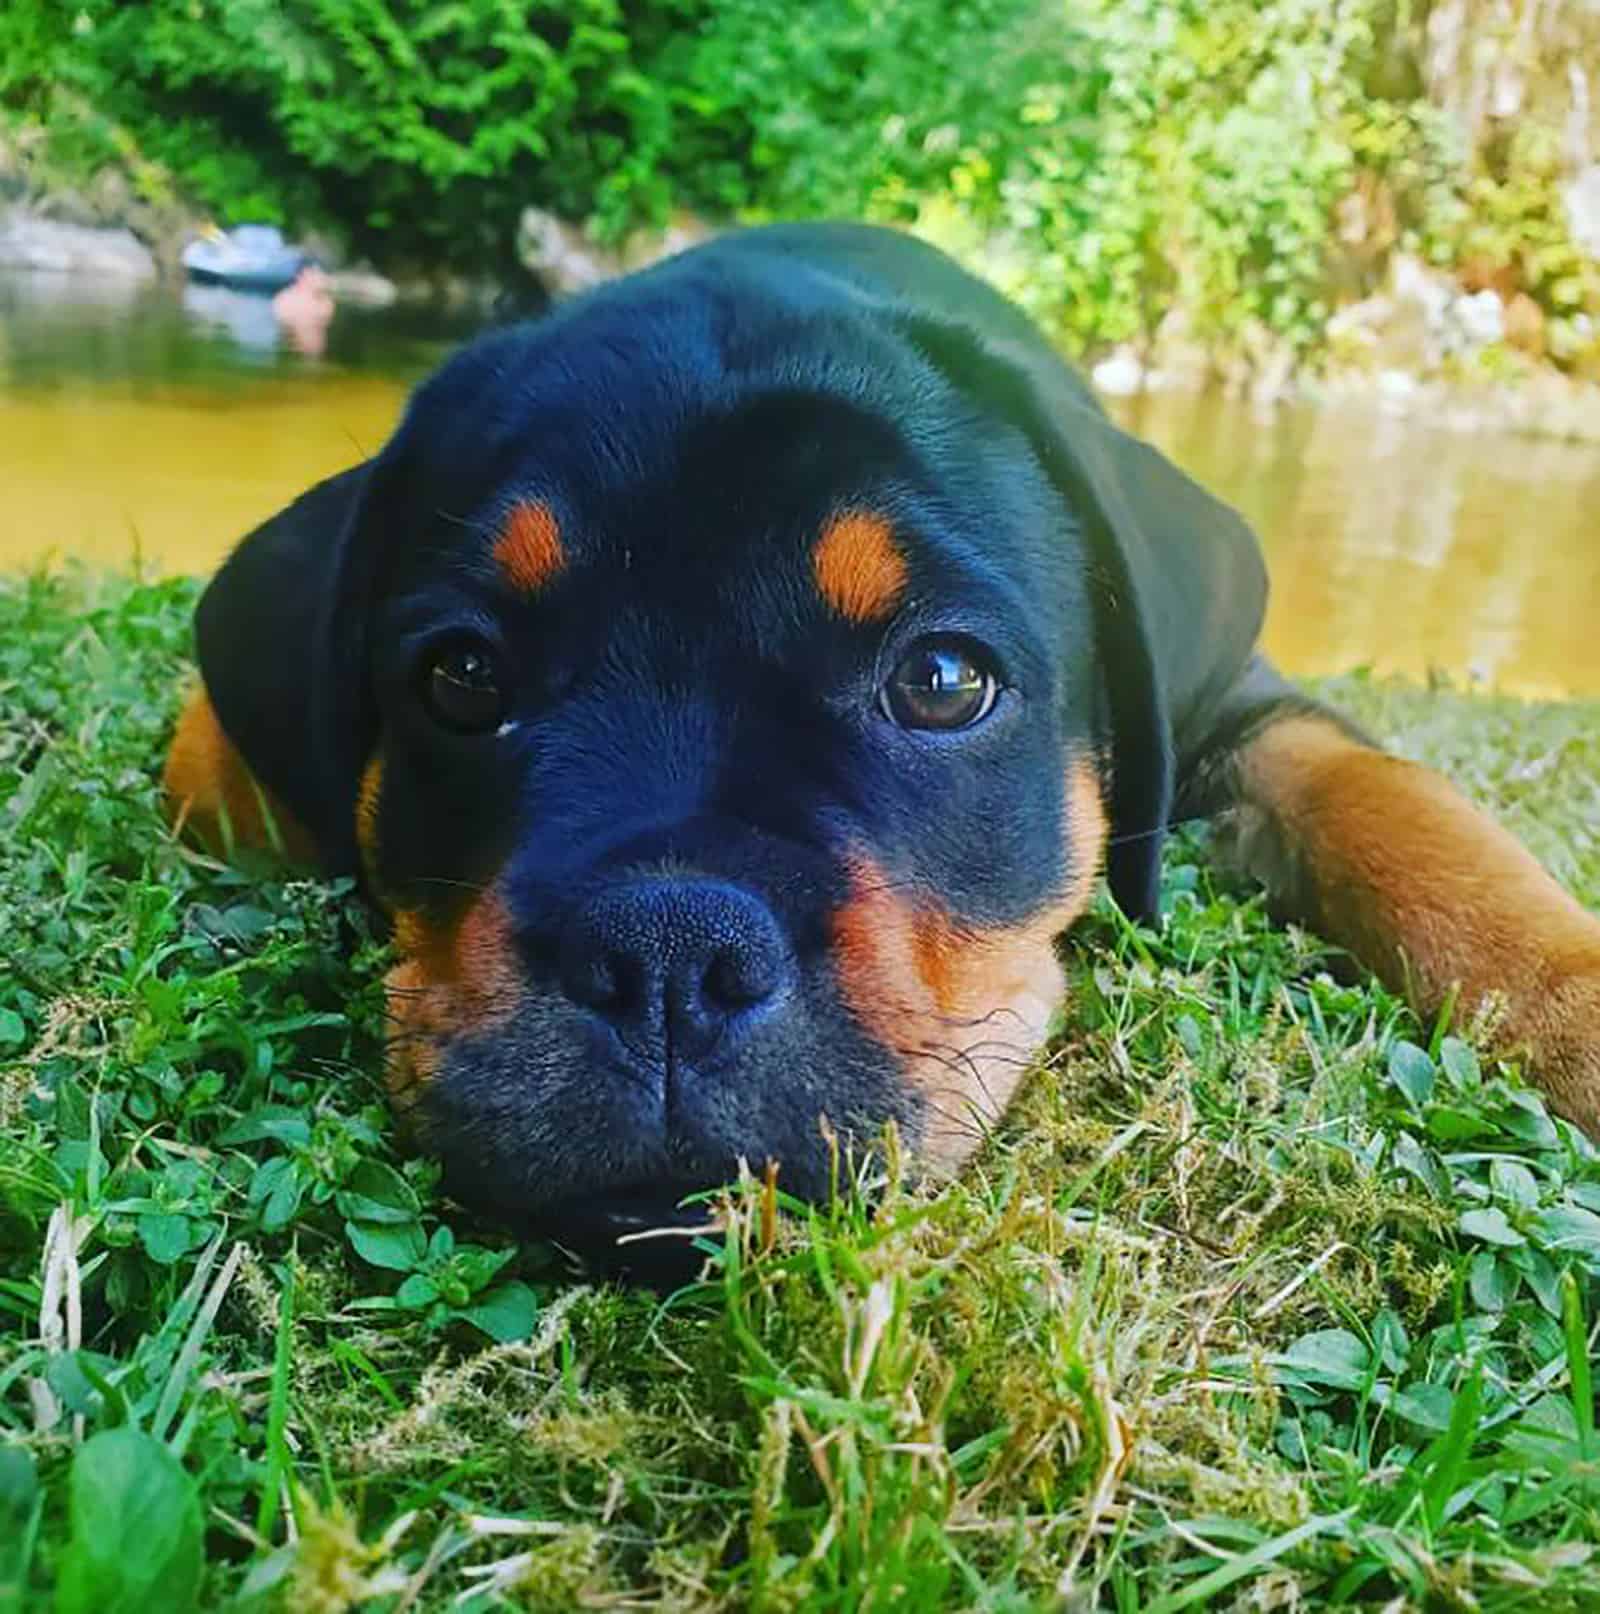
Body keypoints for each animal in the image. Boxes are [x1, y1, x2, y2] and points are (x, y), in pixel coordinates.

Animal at [168, 217, 1600, 1271]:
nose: (665, 954)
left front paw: (1573, 1005)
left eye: (943, 681)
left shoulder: (1250, 708)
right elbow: (210, 750)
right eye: (462, 679)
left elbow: (1404, 808)